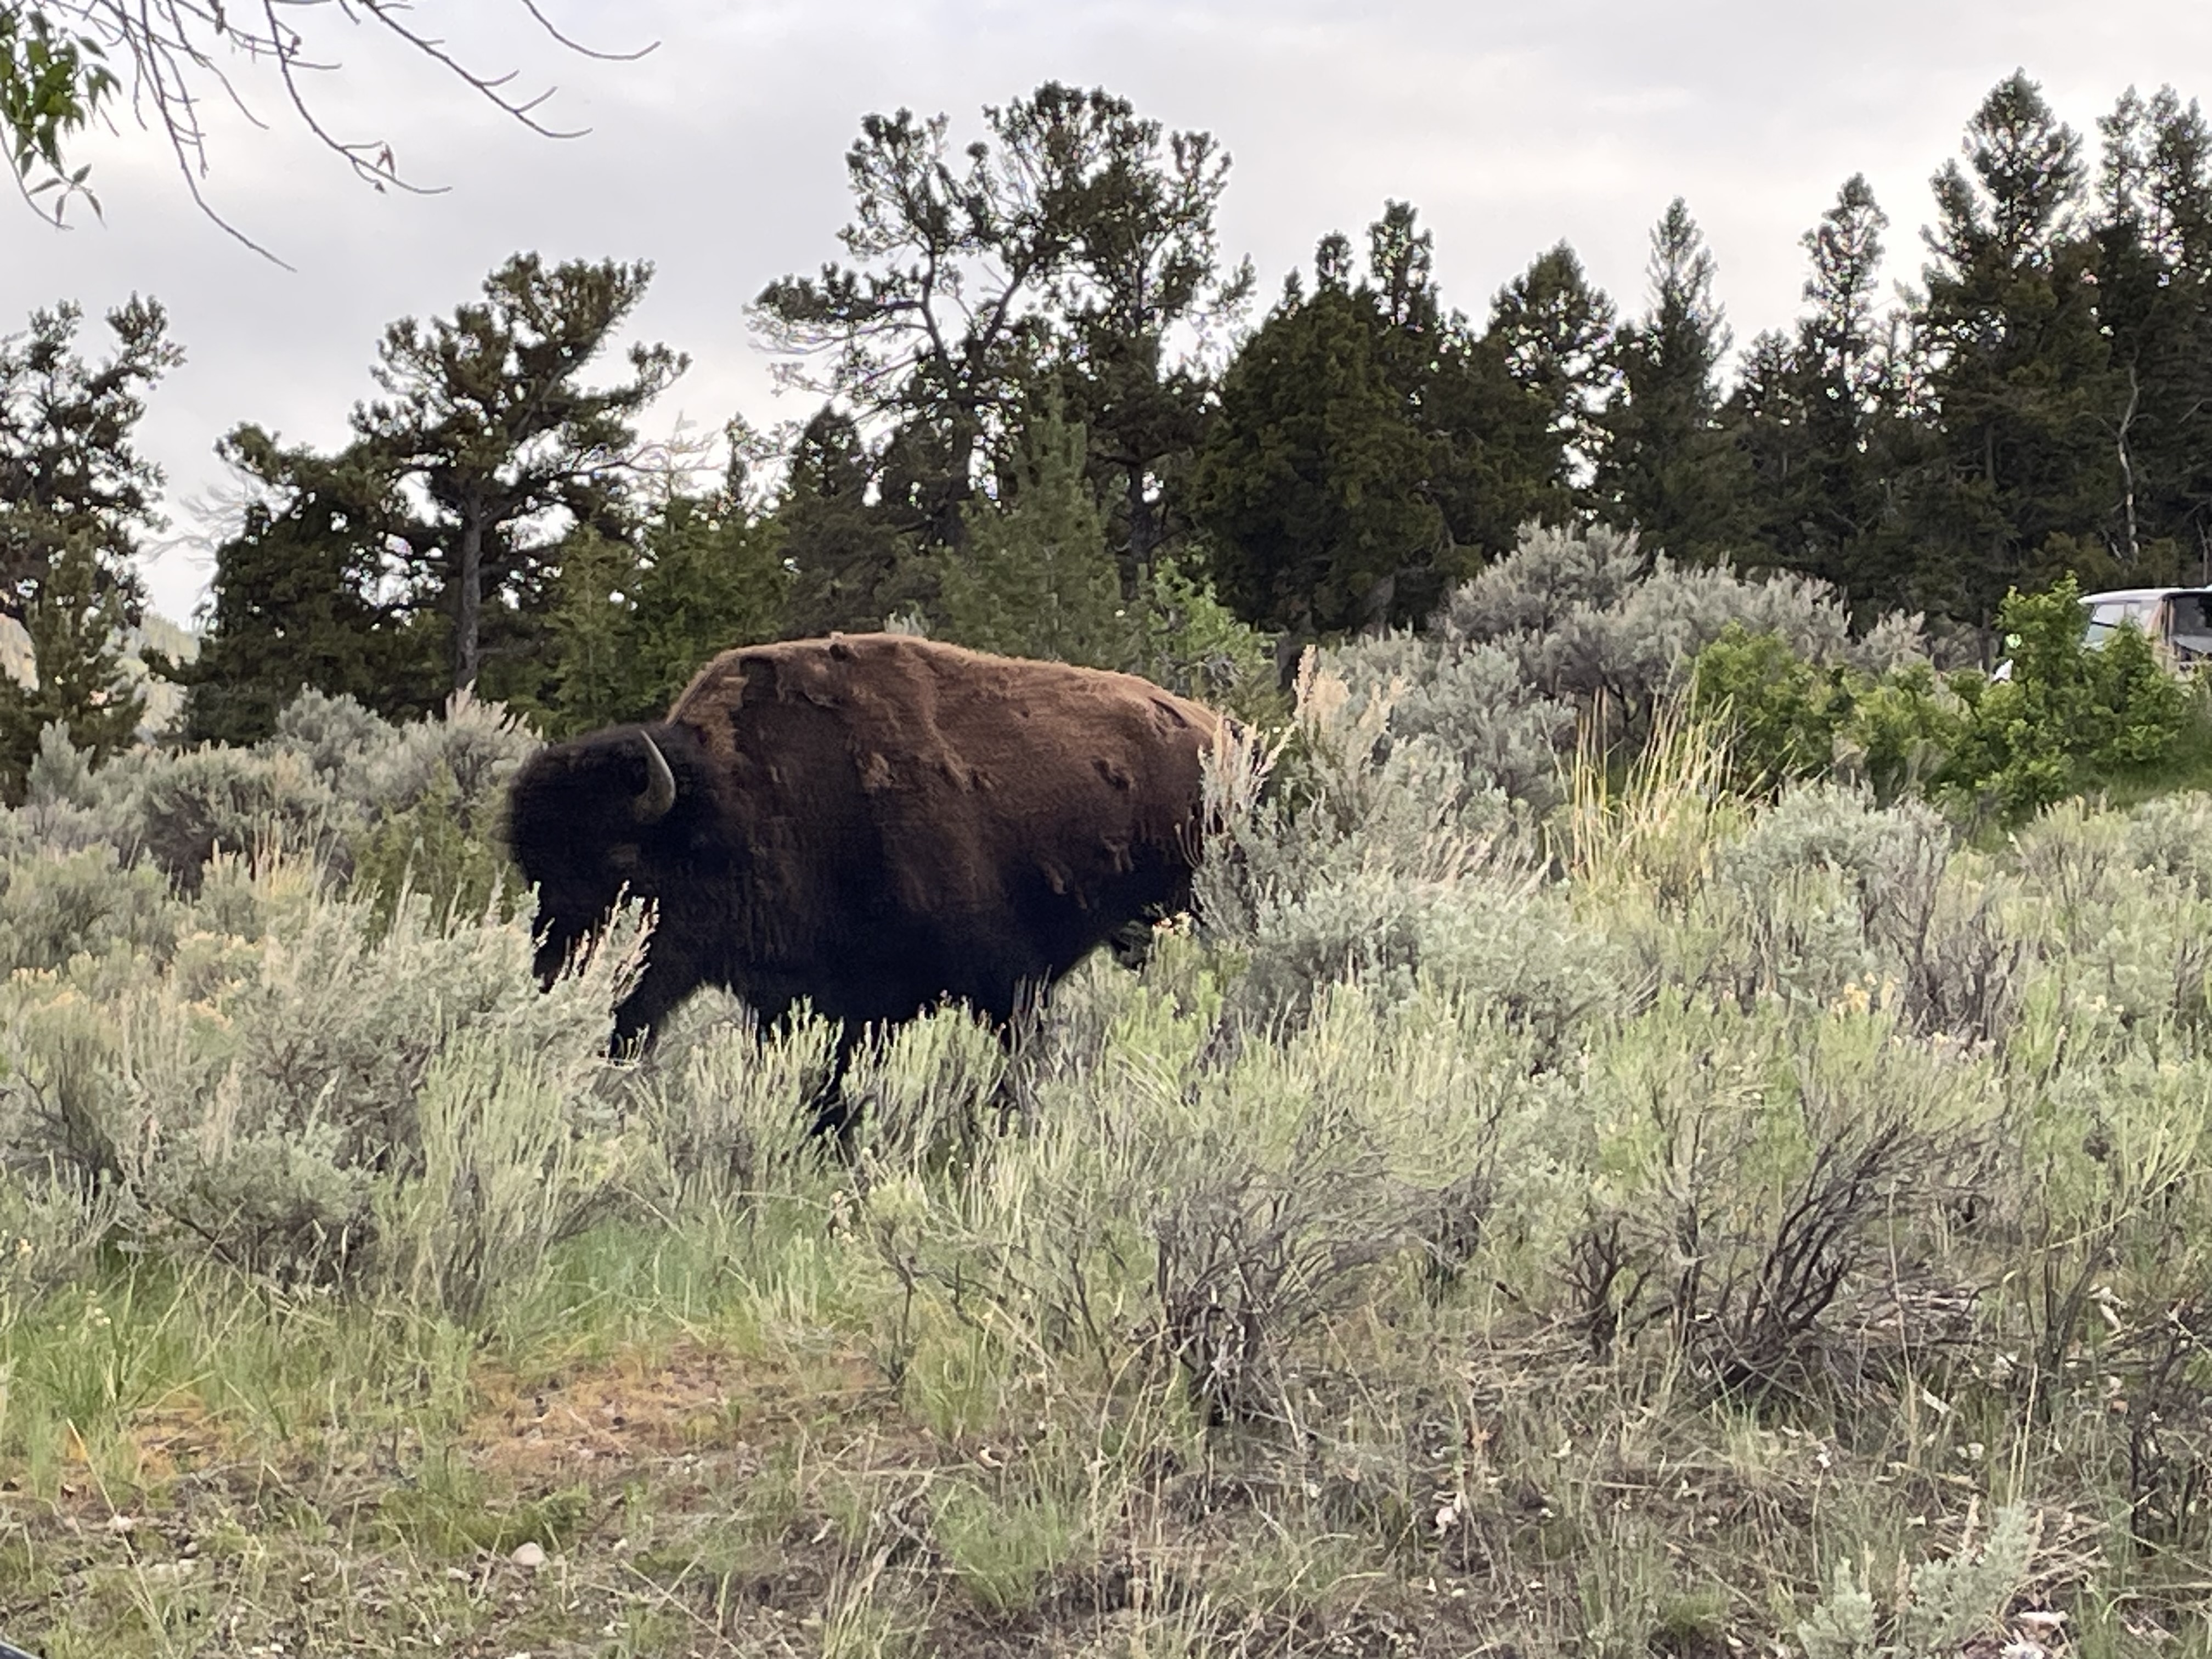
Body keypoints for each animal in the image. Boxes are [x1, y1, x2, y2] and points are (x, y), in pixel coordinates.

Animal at [505, 633, 1225, 1121]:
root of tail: (1224, 733)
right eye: (534, 872)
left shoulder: (1003, 981)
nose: (556, 982)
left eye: (624, 862)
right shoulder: (800, 1001)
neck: (736, 806)